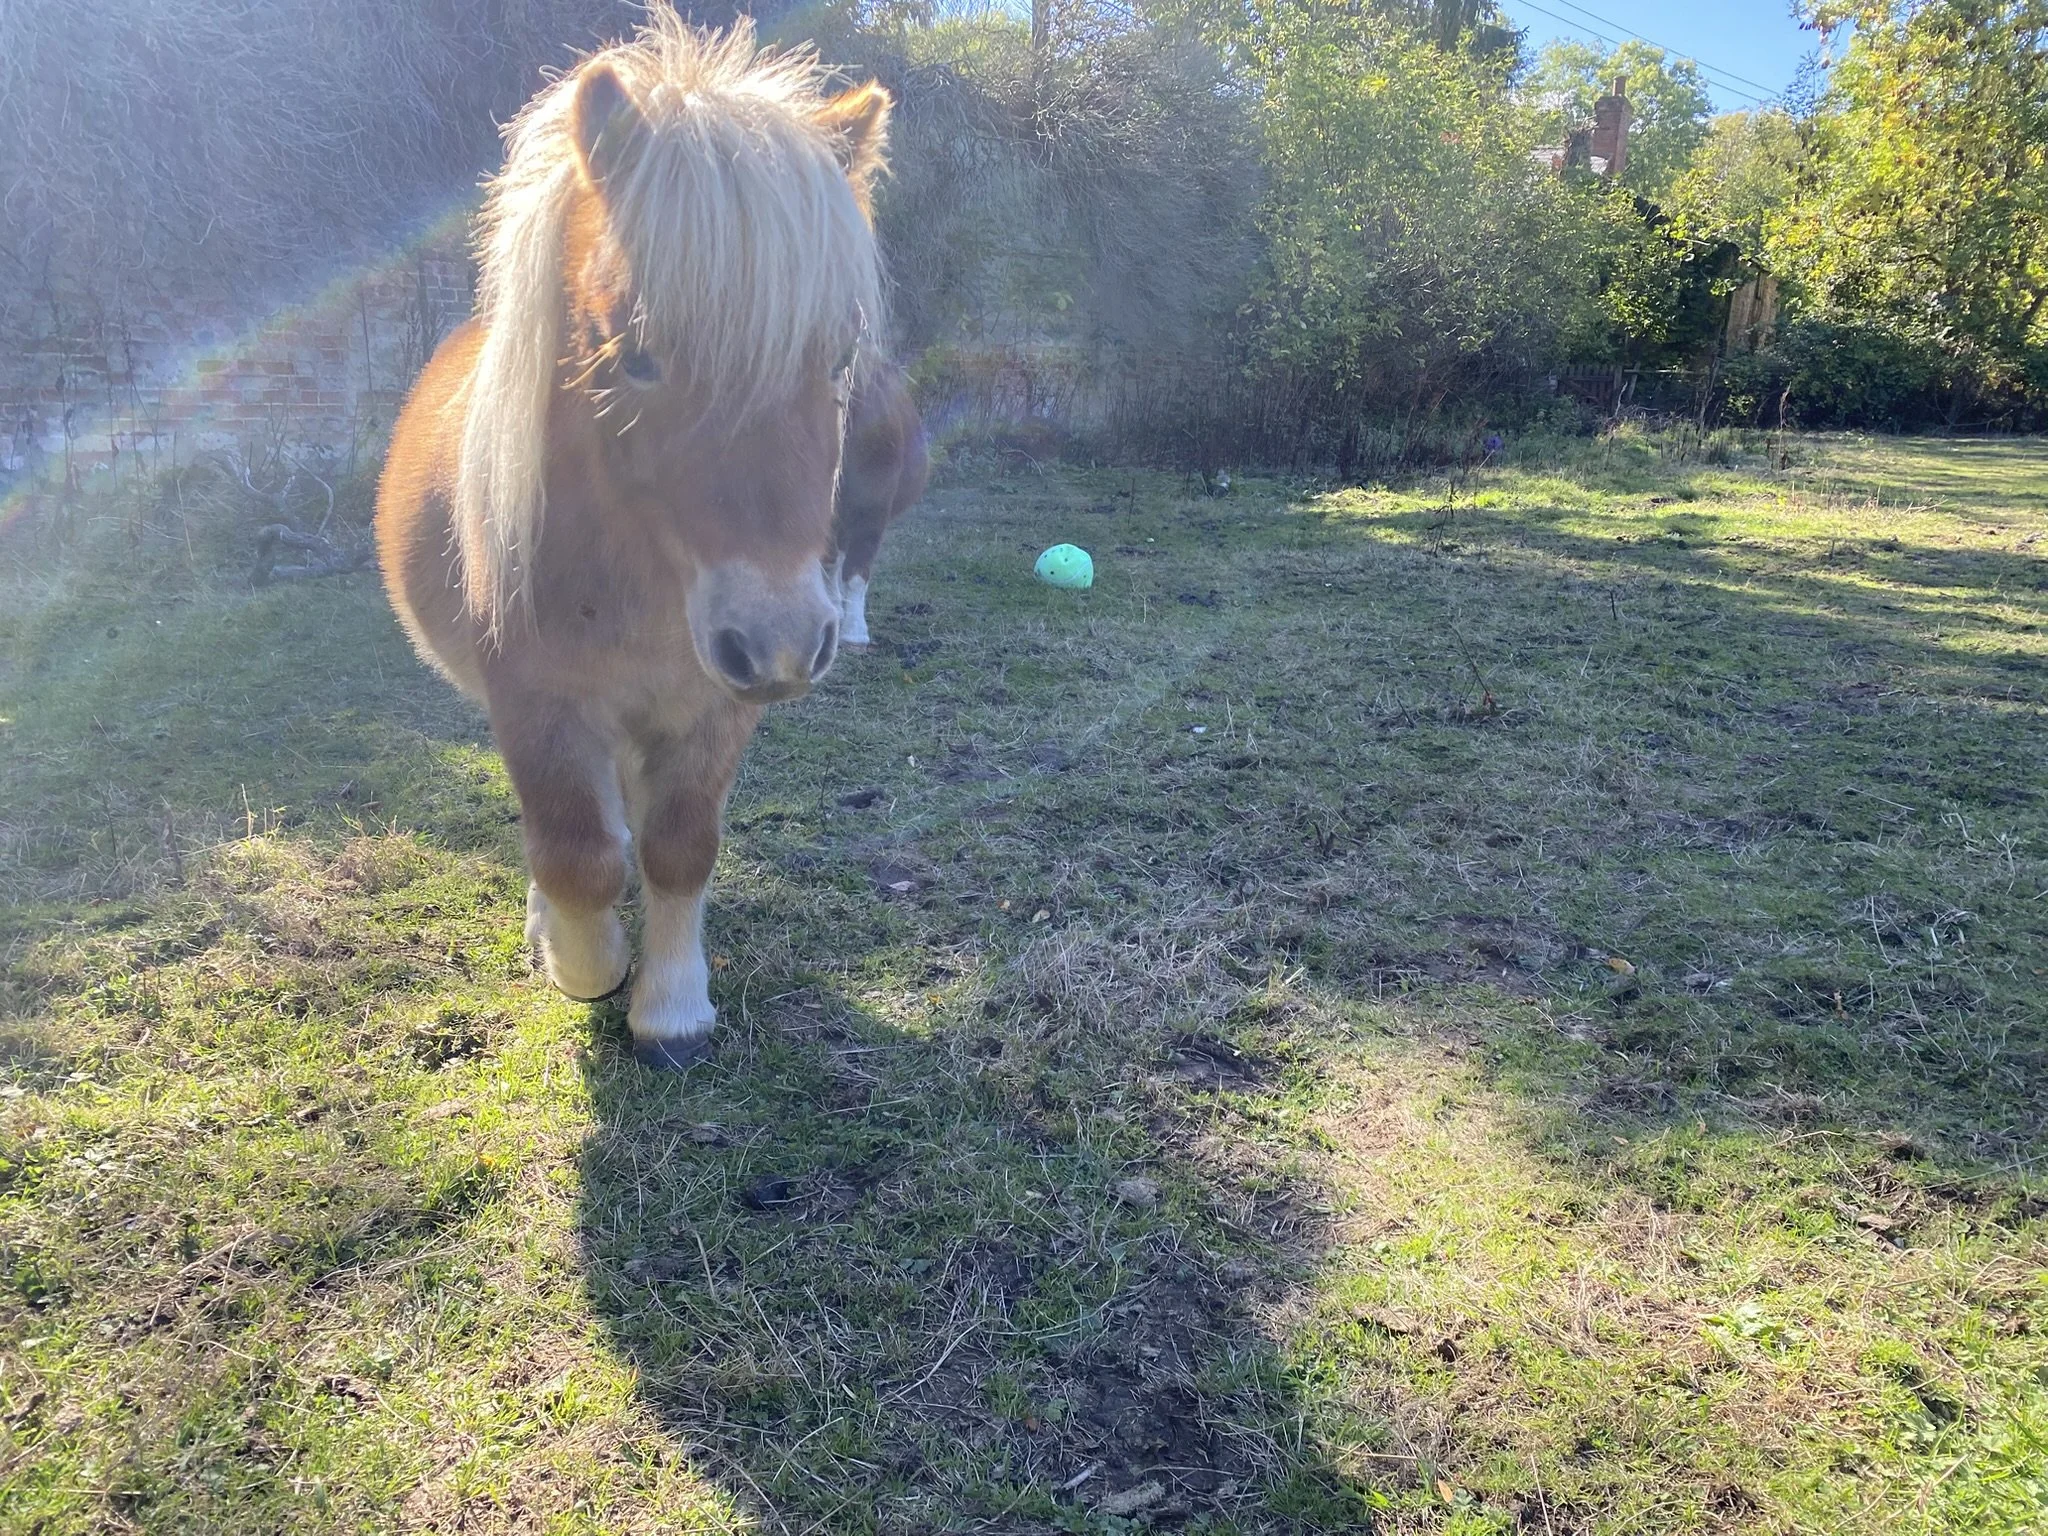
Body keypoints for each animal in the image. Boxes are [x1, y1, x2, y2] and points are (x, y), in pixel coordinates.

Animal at [374, 12, 892, 1069]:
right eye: (636, 356)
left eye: (839, 358)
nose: (781, 641)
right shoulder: (536, 705)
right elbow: (577, 855)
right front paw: (586, 964)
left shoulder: (711, 706)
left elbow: (678, 847)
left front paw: (673, 1006)